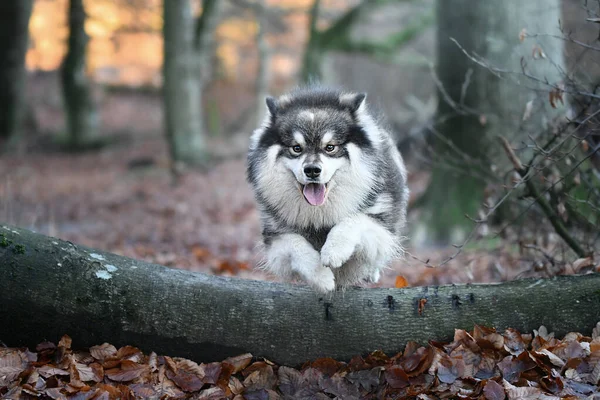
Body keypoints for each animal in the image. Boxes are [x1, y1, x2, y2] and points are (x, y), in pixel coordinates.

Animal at [246, 86, 410, 290]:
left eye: (330, 147)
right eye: (296, 148)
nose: (312, 170)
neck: (320, 213)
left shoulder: (381, 225)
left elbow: (354, 221)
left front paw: (334, 250)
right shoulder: (276, 239)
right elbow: (296, 244)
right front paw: (321, 276)